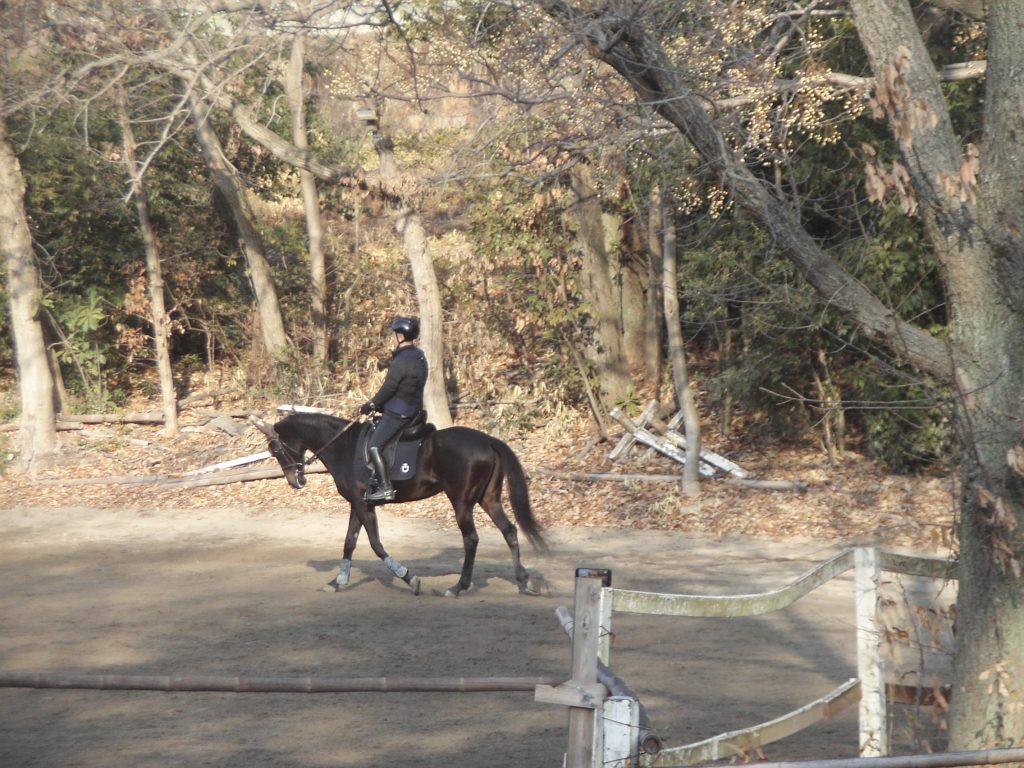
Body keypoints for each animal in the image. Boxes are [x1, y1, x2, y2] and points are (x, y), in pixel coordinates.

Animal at [251, 411, 547, 597]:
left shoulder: (364, 505)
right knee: (509, 531)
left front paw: (409, 578)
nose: (295, 481)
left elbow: (375, 544)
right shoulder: (357, 504)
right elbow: (349, 543)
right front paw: (337, 581)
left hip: (461, 501)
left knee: (471, 539)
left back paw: (457, 587)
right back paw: (524, 581)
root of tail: (488, 440)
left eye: (274, 449)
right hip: (488, 499)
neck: (344, 446)